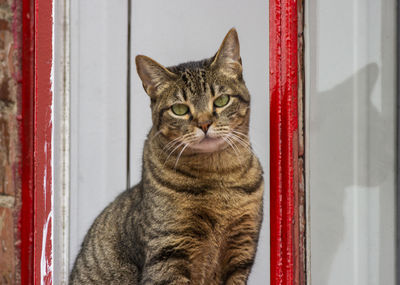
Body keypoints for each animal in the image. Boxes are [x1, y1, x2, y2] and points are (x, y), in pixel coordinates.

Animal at [69, 28, 262, 284]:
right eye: (180, 109)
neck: (218, 175)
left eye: (221, 101)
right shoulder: (167, 254)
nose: (204, 123)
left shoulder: (241, 251)